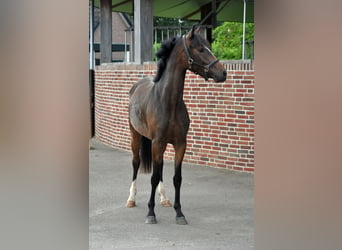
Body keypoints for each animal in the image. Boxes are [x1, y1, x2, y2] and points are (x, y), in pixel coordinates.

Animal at [125, 25, 227, 225]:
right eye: (200, 49)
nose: (223, 73)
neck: (168, 102)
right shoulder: (157, 143)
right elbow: (153, 177)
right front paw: (150, 213)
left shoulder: (180, 143)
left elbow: (176, 178)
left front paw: (179, 213)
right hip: (136, 135)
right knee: (136, 163)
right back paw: (131, 199)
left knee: (160, 167)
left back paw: (164, 198)